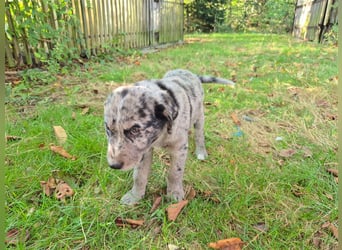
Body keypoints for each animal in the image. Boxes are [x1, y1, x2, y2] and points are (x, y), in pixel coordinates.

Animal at [104, 69, 235, 205]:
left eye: (135, 130)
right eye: (108, 129)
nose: (114, 165)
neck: (160, 134)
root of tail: (192, 74)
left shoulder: (179, 148)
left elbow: (175, 173)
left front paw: (174, 194)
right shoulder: (144, 150)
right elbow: (139, 175)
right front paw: (134, 196)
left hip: (199, 115)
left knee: (199, 134)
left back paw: (201, 152)